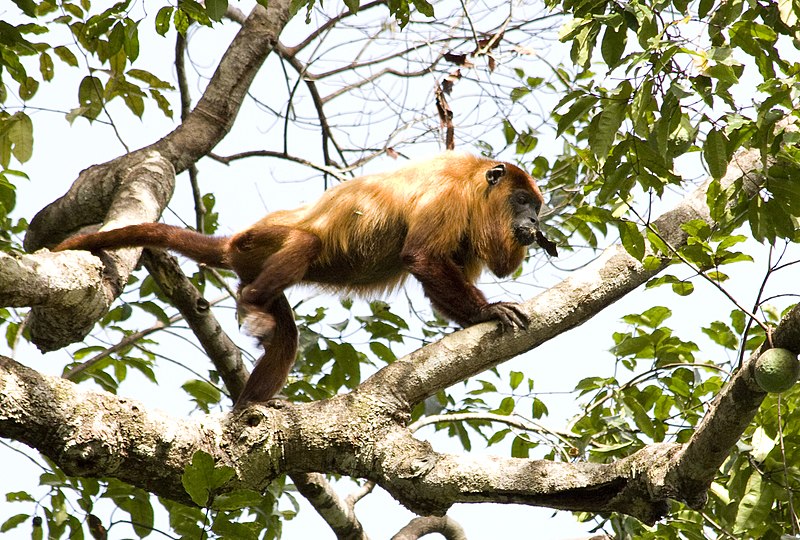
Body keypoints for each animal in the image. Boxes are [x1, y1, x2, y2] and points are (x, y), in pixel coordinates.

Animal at [53, 152, 556, 404]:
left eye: (537, 206)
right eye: (523, 202)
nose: (535, 223)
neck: (475, 184)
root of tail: (233, 244)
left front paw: (475, 315)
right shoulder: (447, 195)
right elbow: (421, 257)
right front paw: (489, 310)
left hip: (252, 264)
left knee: (287, 335)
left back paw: (249, 405)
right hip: (260, 243)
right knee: (307, 242)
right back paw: (255, 303)